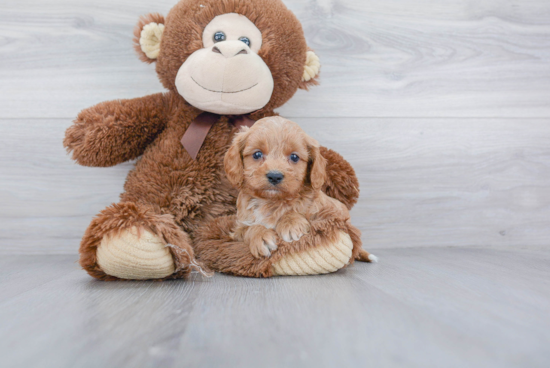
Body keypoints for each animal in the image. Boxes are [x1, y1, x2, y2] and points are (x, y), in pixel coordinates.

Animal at [224, 116, 376, 260]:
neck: (272, 202)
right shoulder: (238, 227)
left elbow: (297, 212)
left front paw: (291, 223)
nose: (274, 176)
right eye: (257, 154)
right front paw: (260, 236)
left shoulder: (330, 213)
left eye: (294, 157)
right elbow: (248, 228)